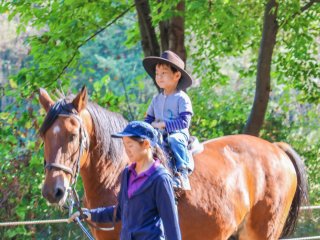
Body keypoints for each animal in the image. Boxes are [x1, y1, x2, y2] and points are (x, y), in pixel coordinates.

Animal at [39, 86, 308, 240]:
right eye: (44, 136)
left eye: (73, 135)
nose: (54, 191)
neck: (115, 175)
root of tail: (277, 149)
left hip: (263, 232)